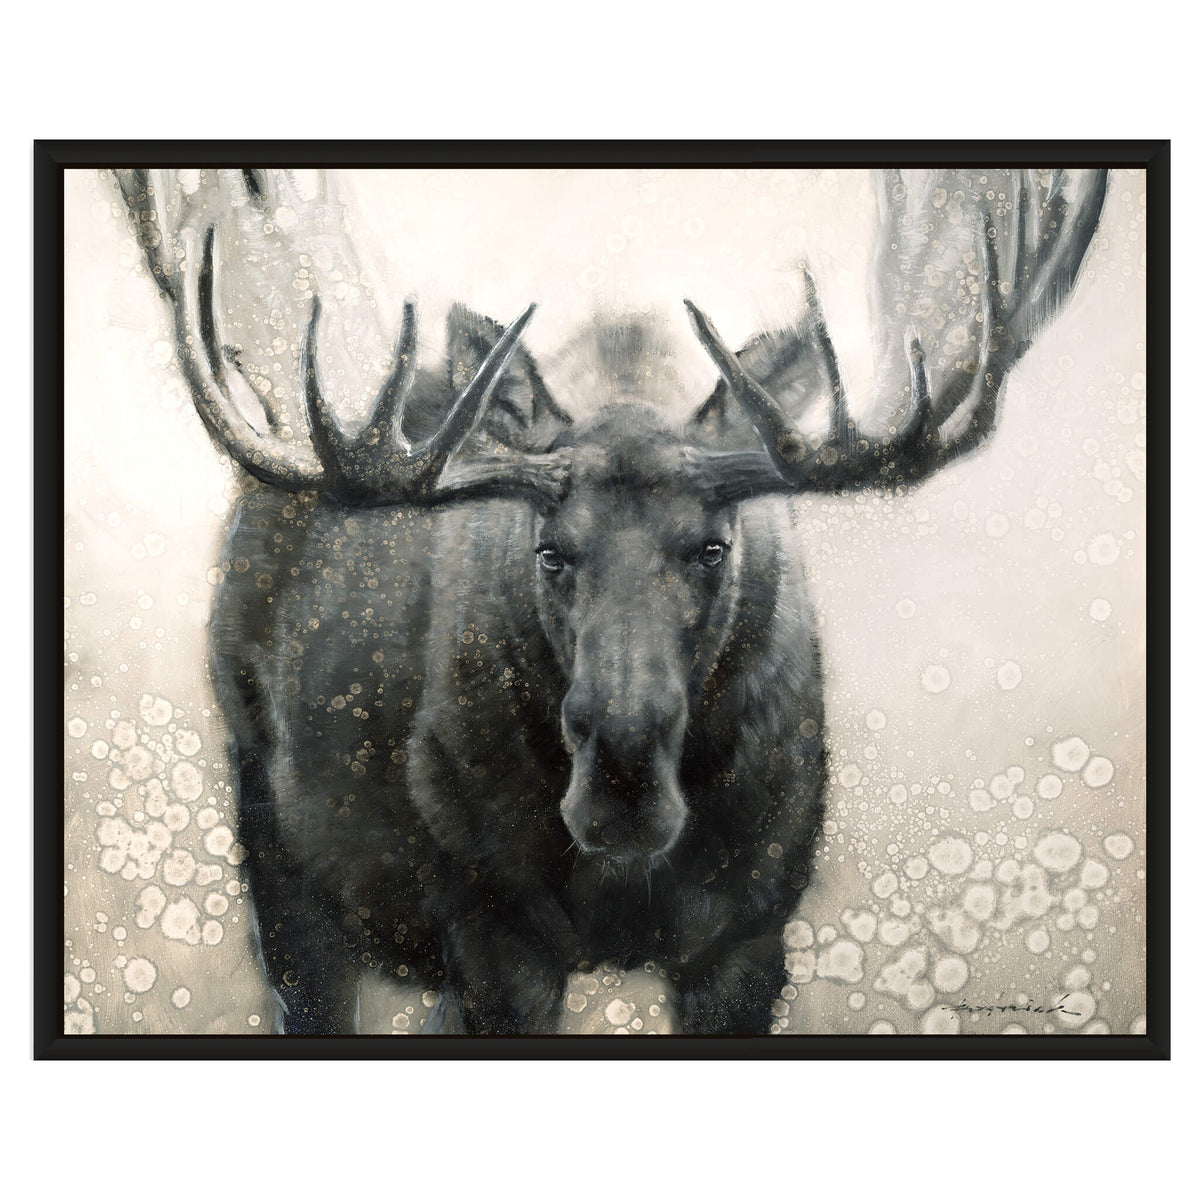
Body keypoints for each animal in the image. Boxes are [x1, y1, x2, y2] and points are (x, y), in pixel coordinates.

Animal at [112, 166, 1108, 1035]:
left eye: (712, 547)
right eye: (550, 552)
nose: (622, 780)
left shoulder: (751, 936)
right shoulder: (493, 930)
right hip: (274, 842)